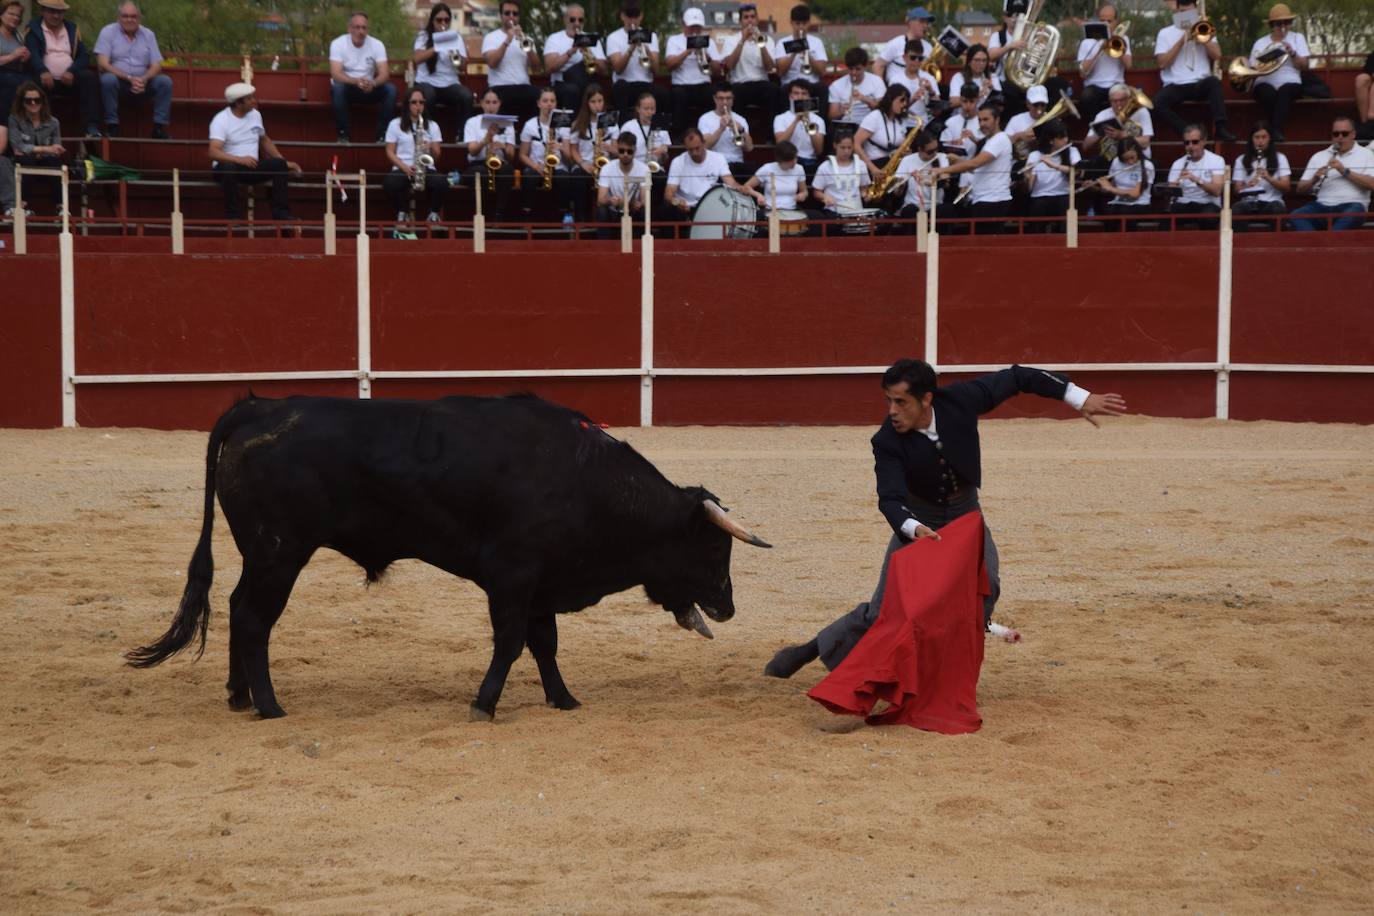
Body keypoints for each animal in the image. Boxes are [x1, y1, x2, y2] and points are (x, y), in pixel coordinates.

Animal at [126, 390, 774, 719]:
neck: (585, 480)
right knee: (255, 618)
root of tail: (256, 406)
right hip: (280, 552)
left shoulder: (541, 580)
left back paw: (238, 697)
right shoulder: (513, 575)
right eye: (713, 545)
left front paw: (563, 699)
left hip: (260, 553)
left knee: (238, 610)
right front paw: (484, 705)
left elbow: (544, 643)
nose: (728, 608)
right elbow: (511, 642)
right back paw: (268, 705)